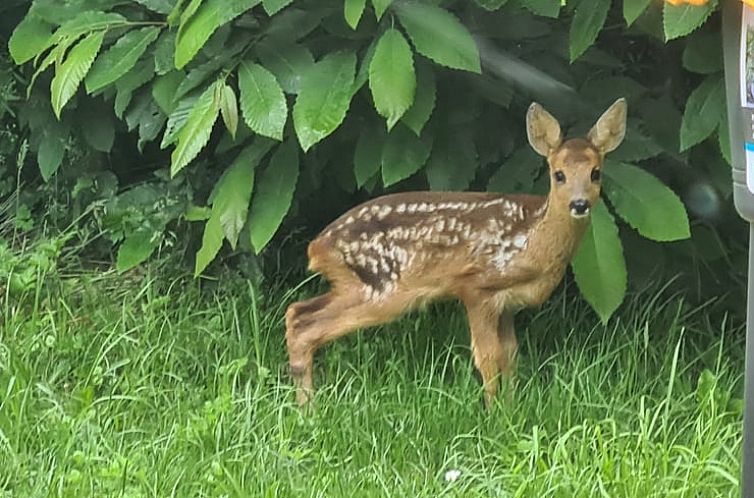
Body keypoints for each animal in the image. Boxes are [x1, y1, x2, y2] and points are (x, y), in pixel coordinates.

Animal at [284, 98, 624, 408]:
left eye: (595, 173)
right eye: (559, 175)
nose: (579, 204)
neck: (532, 239)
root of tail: (318, 246)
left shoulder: (507, 303)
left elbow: (511, 354)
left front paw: (512, 407)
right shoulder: (476, 285)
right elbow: (487, 356)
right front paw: (494, 414)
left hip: (354, 286)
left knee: (297, 312)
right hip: (380, 287)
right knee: (306, 326)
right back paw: (308, 411)